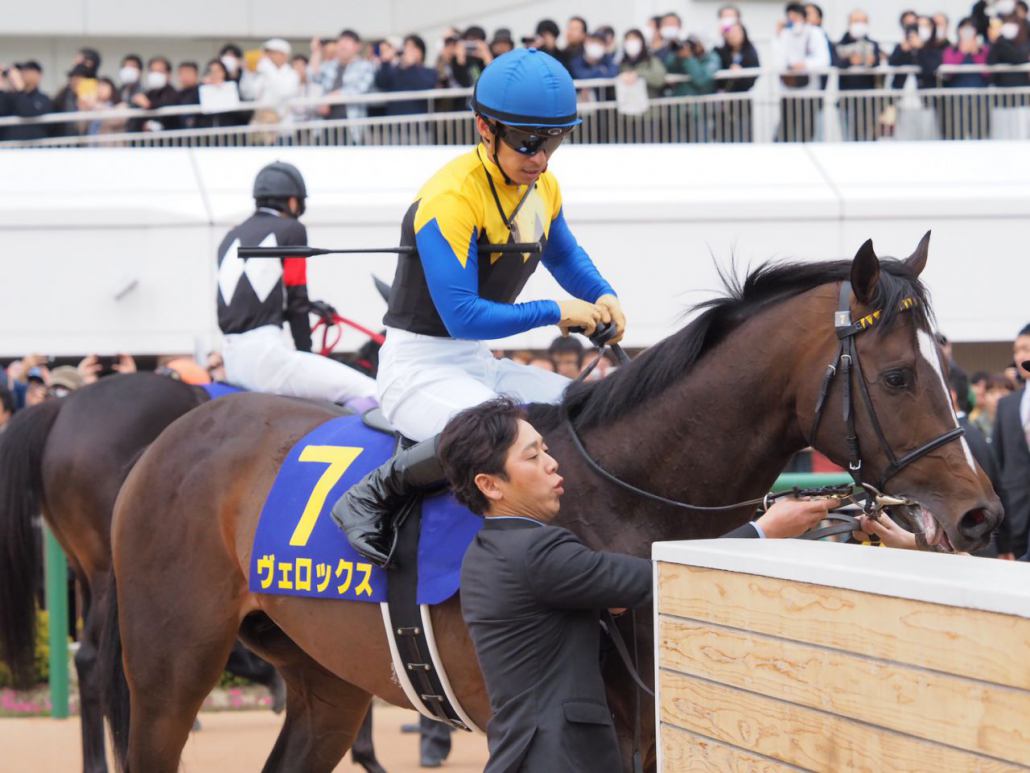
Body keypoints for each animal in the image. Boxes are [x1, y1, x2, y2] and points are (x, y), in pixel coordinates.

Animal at [103, 236, 1002, 772]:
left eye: (948, 360)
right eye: (898, 374)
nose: (981, 514)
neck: (629, 496)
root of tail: (177, 430)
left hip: (325, 677)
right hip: (171, 665)